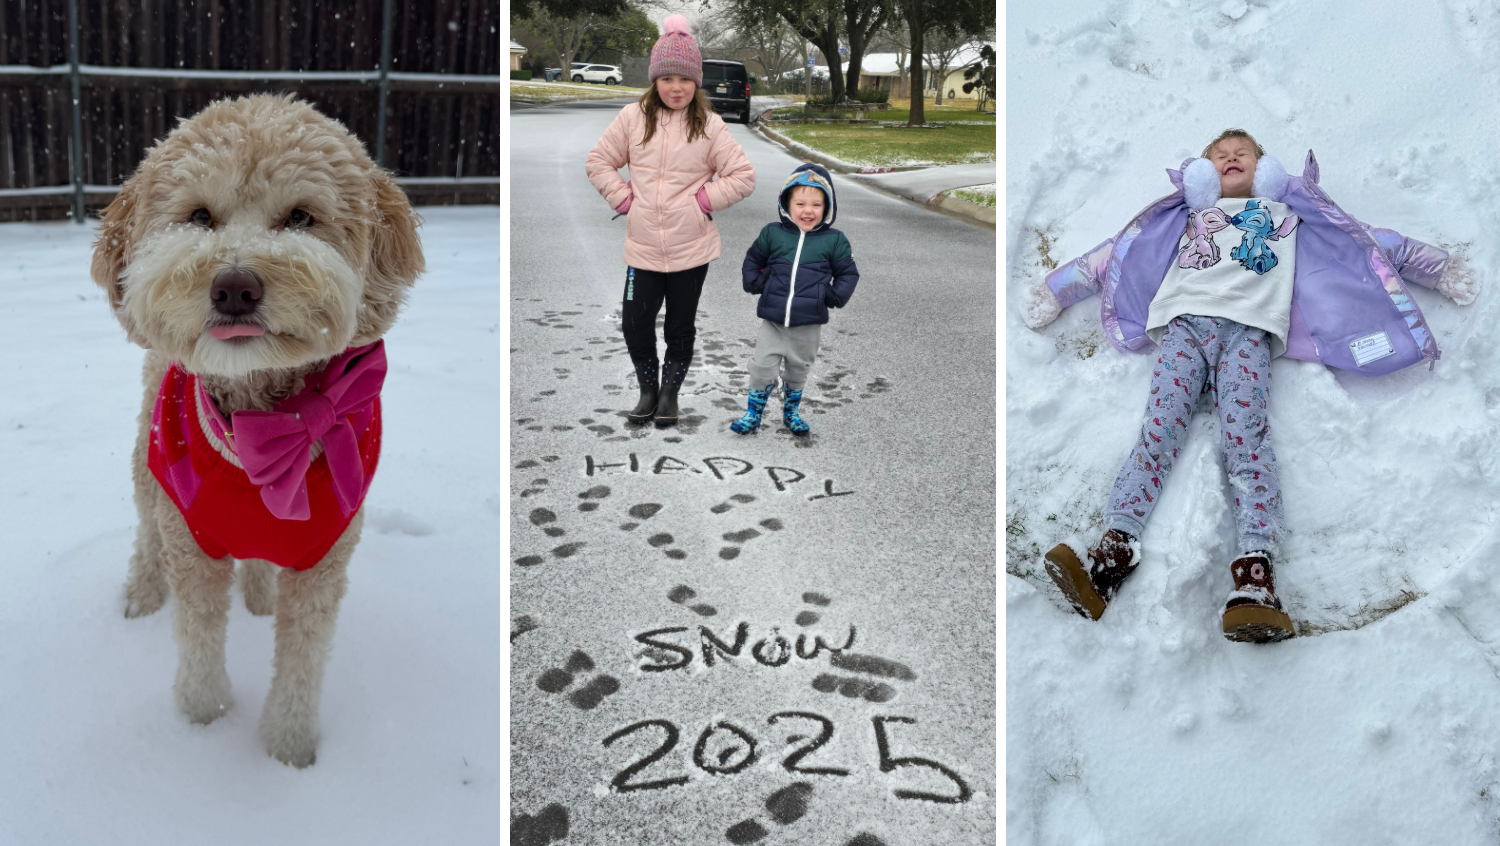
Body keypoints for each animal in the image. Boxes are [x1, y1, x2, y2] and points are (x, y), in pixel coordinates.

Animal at [90, 94, 426, 768]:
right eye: (199, 215)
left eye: (299, 217)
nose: (235, 286)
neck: (267, 428)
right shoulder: (191, 539)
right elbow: (197, 638)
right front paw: (202, 719)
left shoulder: (325, 557)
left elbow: (302, 660)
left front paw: (289, 750)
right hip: (148, 462)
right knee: (145, 528)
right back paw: (141, 593)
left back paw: (259, 595)